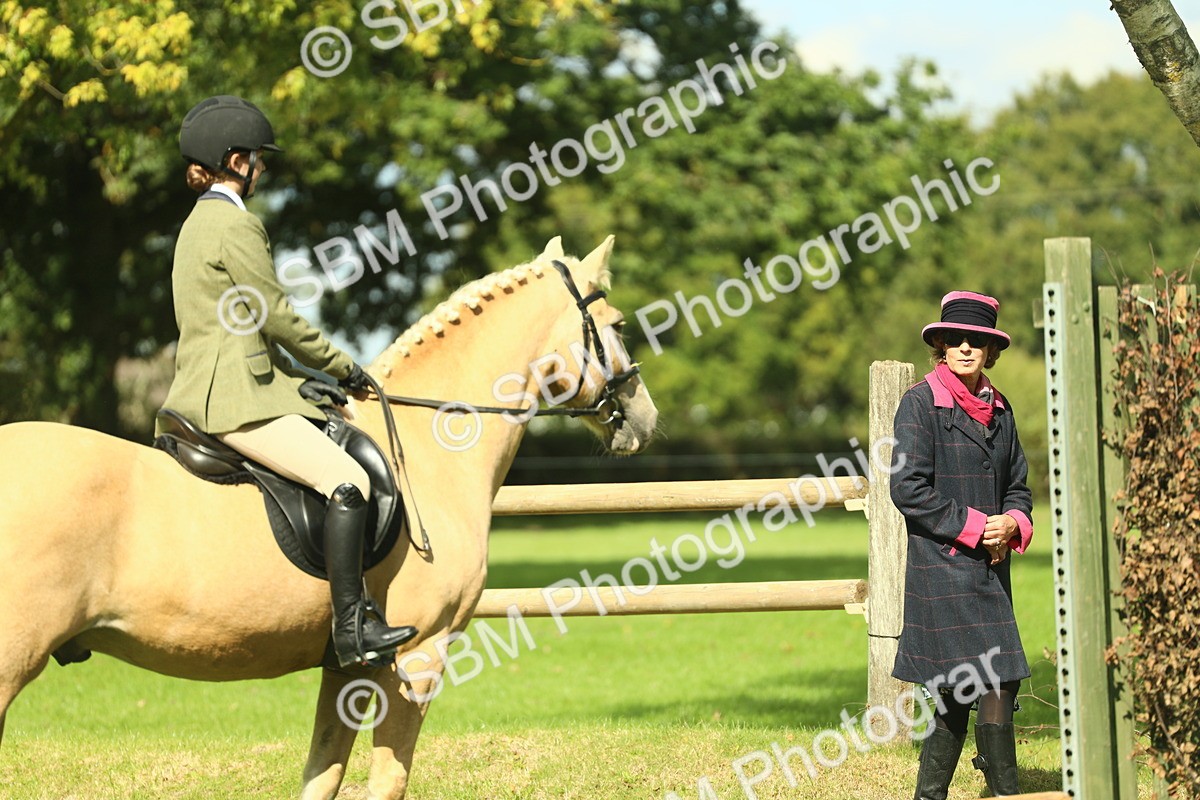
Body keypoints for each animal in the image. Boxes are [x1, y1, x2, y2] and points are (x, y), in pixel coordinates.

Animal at [0, 235, 658, 799]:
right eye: (620, 326)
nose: (644, 420)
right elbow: (388, 779)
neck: (427, 447)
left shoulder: (346, 667)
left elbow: (323, 771)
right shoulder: (420, 653)